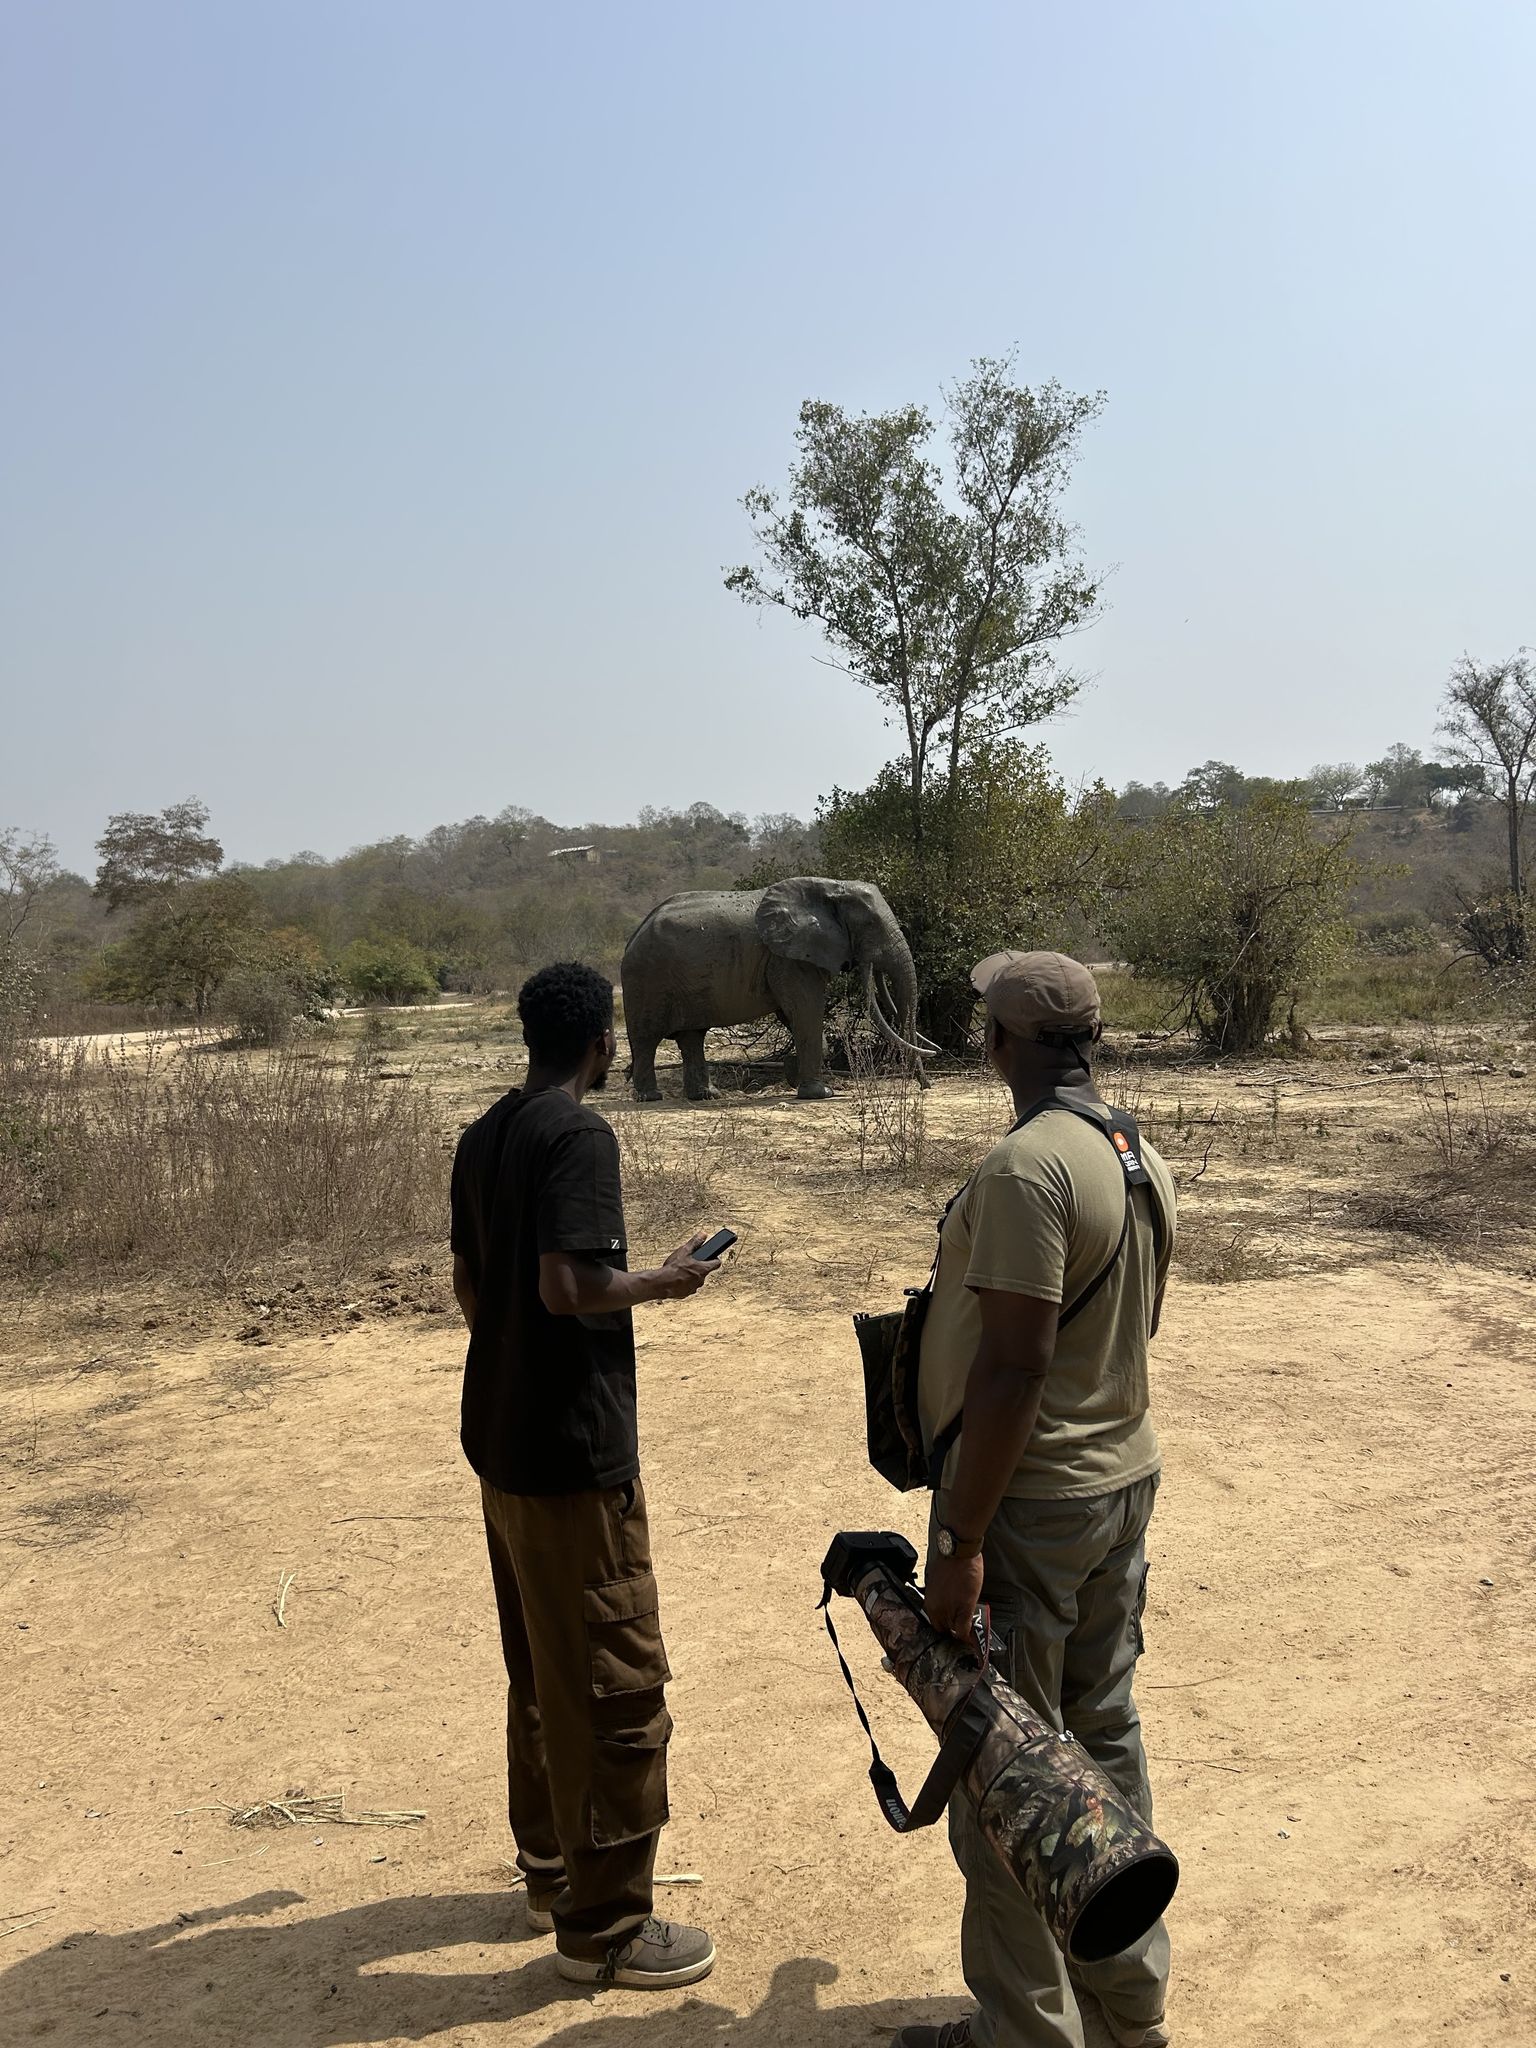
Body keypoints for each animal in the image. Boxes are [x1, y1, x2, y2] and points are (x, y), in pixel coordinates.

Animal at [620, 876, 938, 1101]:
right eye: (871, 924)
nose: (926, 1086)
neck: (832, 886)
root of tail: (634, 933)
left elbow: (793, 1015)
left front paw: (792, 1072)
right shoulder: (788, 958)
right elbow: (806, 1010)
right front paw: (820, 1094)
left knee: (692, 1037)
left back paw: (707, 1096)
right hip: (646, 978)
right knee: (647, 1038)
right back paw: (651, 1097)